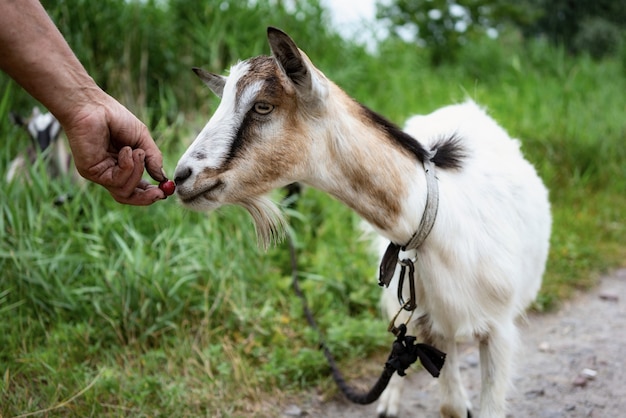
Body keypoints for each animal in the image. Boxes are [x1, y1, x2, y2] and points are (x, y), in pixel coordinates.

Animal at [173, 27, 548, 416]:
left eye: (262, 106)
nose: (181, 177)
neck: (436, 218)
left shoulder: (499, 329)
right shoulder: (432, 322)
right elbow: (450, 404)